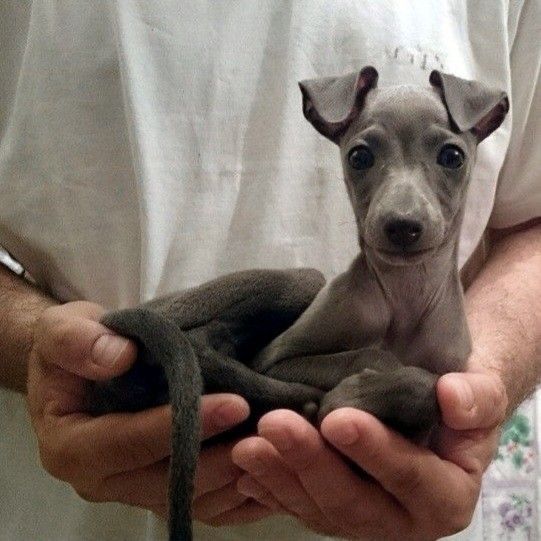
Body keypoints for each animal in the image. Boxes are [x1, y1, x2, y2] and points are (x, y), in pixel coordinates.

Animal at [90, 68, 508, 540]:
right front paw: (354, 390)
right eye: (359, 157)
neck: (403, 298)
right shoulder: (275, 360)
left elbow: (431, 388)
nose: (402, 225)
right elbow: (383, 362)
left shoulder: (451, 377)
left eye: (452, 156)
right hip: (298, 282)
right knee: (203, 339)